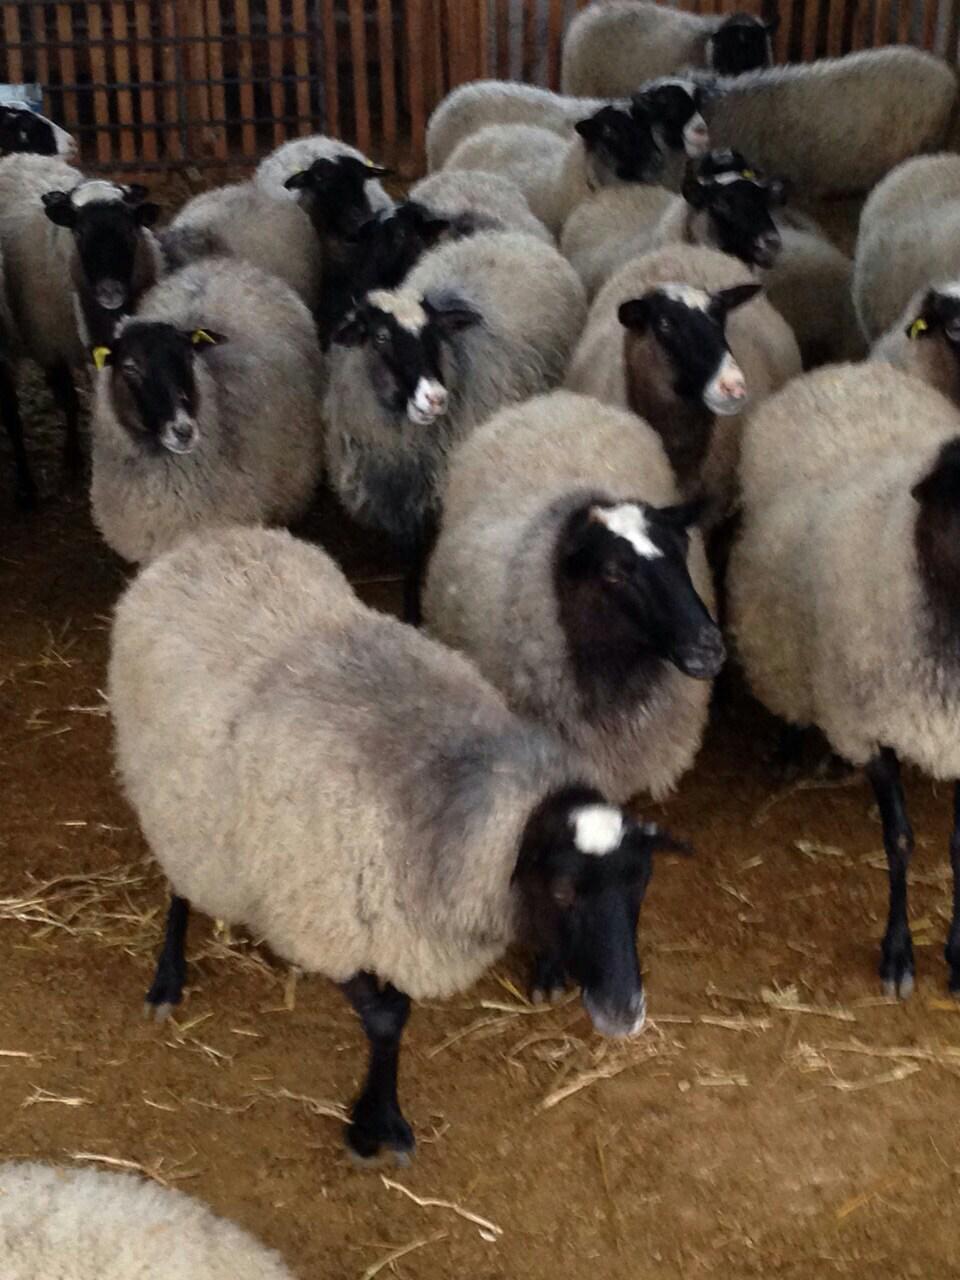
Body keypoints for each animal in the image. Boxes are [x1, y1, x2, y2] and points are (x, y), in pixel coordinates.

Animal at [0, 158, 162, 477]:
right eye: (80, 233)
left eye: (130, 231)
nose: (110, 293)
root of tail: (19, 156)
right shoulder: (51, 345)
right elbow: (72, 402)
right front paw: (73, 458)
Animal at [109, 524, 688, 1161]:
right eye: (561, 890)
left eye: (642, 884)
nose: (626, 1013)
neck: (453, 797)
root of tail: (211, 539)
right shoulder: (327, 920)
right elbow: (387, 1019)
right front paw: (375, 1126)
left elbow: (397, 1008)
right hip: (173, 797)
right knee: (179, 885)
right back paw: (168, 979)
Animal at [324, 229, 586, 618]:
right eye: (381, 337)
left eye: (436, 335)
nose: (435, 397)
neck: (402, 441)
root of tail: (510, 236)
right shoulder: (399, 497)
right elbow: (408, 557)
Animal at [561, 2, 777, 98]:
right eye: (726, 48)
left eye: (755, 45)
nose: (740, 72)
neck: (704, 48)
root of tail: (583, 17)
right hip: (583, 83)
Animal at [728, 360, 960, 997]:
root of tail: (846, 371)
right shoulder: (865, 725)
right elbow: (899, 839)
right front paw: (898, 954)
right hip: (779, 637)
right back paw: (790, 749)